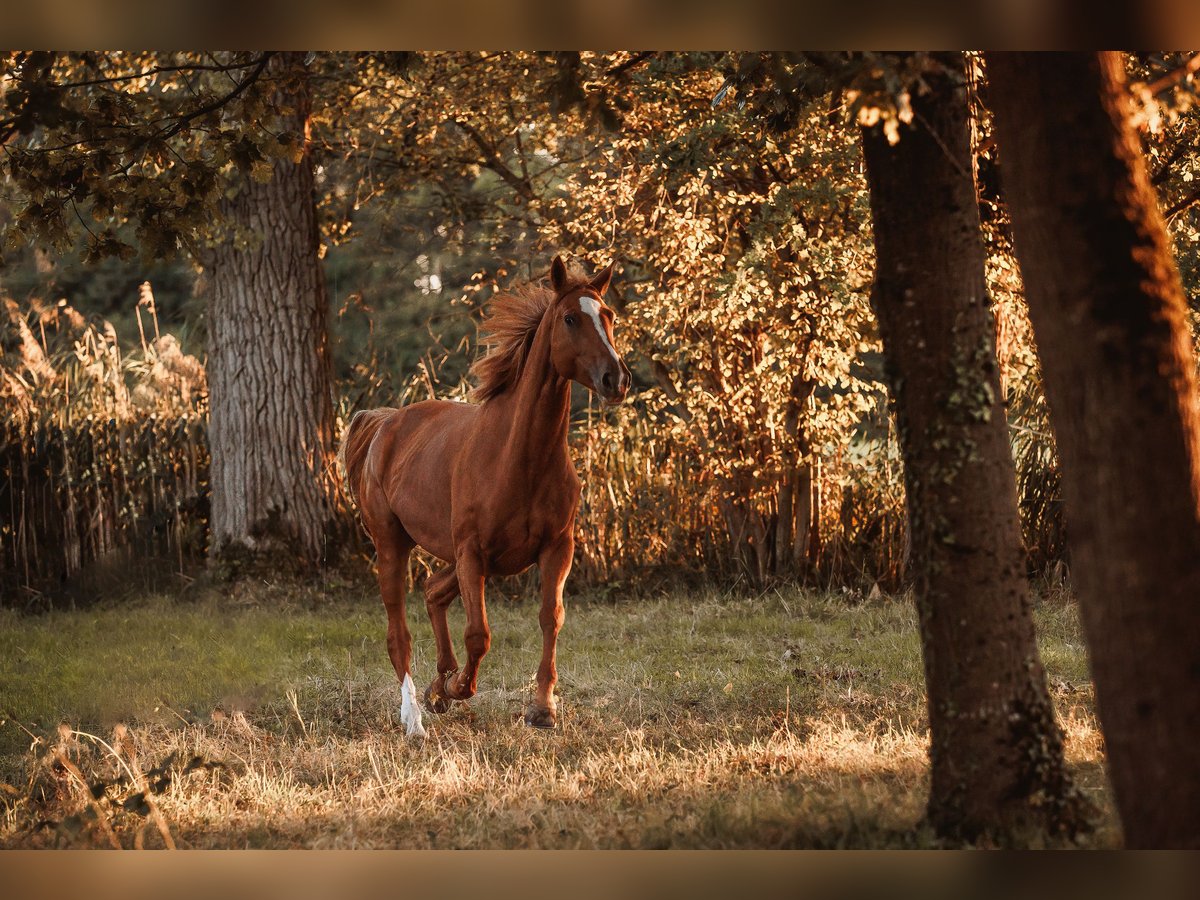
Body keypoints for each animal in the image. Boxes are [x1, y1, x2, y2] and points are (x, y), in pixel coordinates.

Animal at [343, 256, 633, 734]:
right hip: (393, 544)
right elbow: (479, 635)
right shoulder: (472, 553)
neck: (517, 457)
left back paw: (436, 688)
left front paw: (541, 708)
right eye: (570, 318)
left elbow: (550, 618)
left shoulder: (556, 548)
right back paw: (414, 719)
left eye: (608, 316)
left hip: (468, 560)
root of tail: (385, 423)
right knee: (398, 632)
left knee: (433, 591)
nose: (617, 379)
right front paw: (460, 687)